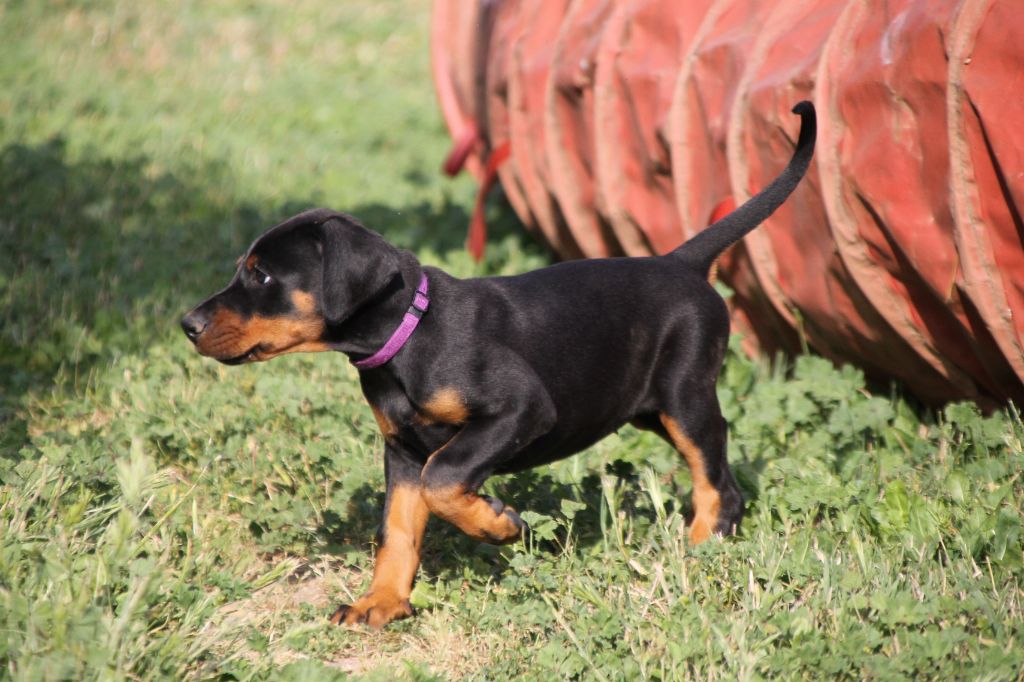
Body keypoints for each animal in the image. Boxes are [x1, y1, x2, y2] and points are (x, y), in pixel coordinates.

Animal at [181, 102, 815, 629]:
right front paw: (380, 603)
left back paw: (700, 547)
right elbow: (397, 530)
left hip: (686, 397)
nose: (188, 323)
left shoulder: (518, 410)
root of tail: (682, 262)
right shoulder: (402, 451)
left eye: (262, 276)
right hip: (645, 407)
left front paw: (501, 524)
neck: (410, 335)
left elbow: (444, 477)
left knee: (717, 478)